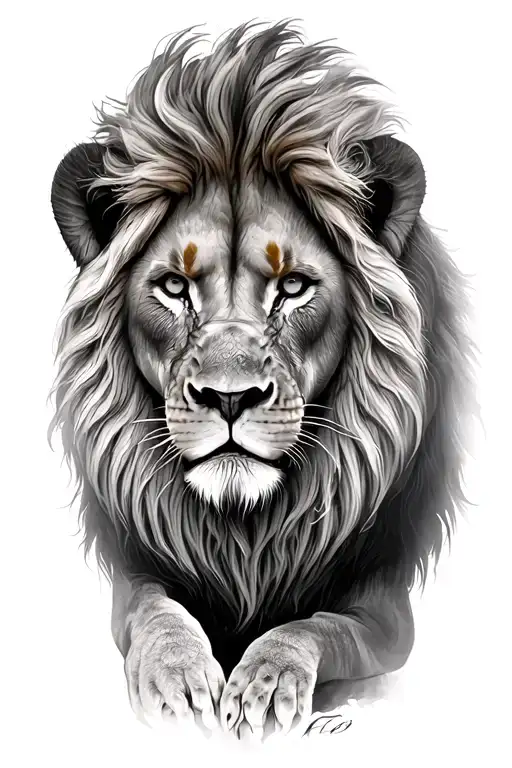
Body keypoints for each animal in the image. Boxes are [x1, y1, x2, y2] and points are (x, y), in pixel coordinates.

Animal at [50, 21, 476, 740]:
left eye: (294, 287)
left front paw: (267, 685)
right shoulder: (137, 571)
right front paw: (179, 683)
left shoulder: (385, 604)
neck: (246, 532)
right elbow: (155, 613)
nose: (229, 398)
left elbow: (318, 626)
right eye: (173, 288)